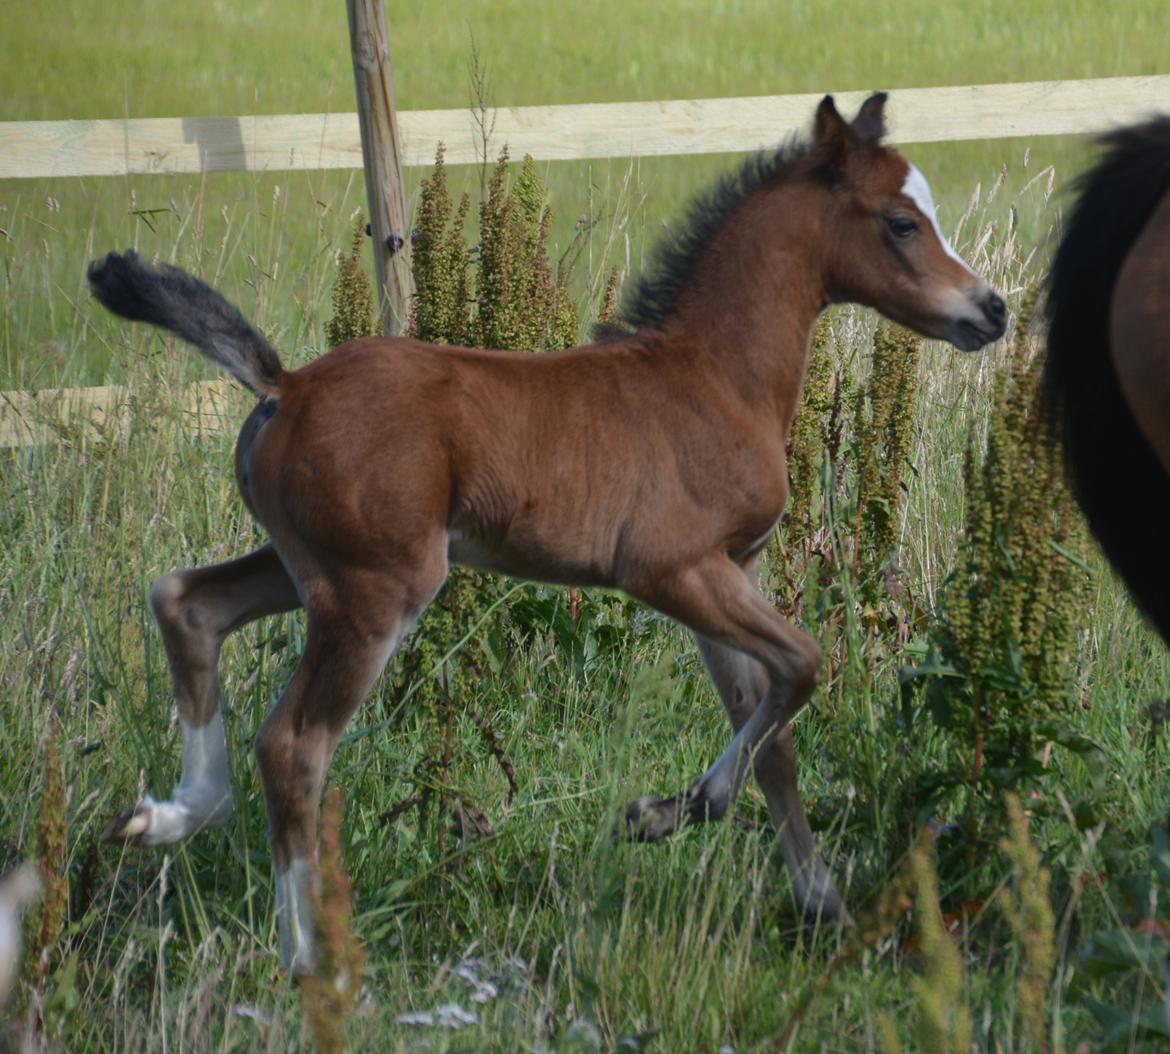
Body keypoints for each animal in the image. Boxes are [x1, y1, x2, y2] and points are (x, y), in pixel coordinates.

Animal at [89, 92, 1006, 972]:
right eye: (902, 222)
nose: (990, 309)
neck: (712, 376)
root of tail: (286, 387)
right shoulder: (671, 570)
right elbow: (805, 667)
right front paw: (663, 813)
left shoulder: (730, 570)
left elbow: (773, 726)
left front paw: (824, 909)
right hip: (376, 591)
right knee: (292, 745)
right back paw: (311, 960)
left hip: (308, 568)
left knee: (187, 601)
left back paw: (169, 818)